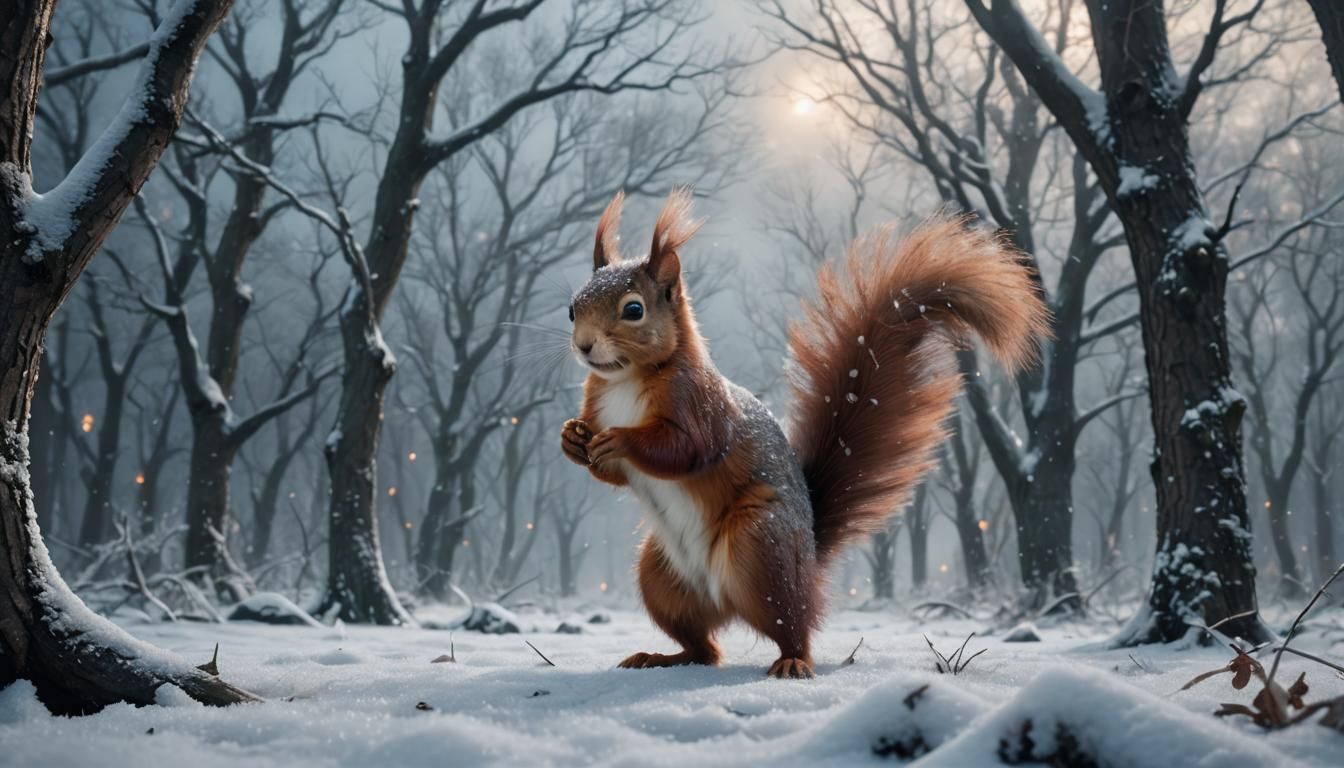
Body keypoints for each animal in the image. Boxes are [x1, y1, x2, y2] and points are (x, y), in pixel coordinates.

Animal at [560, 189, 1049, 678]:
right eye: (572, 308)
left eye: (634, 310)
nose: (583, 346)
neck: (626, 379)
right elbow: (611, 471)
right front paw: (572, 438)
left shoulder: (700, 406)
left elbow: (686, 449)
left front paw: (620, 440)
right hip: (662, 577)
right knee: (703, 647)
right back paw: (658, 657)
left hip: (761, 548)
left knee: (791, 625)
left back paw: (792, 661)